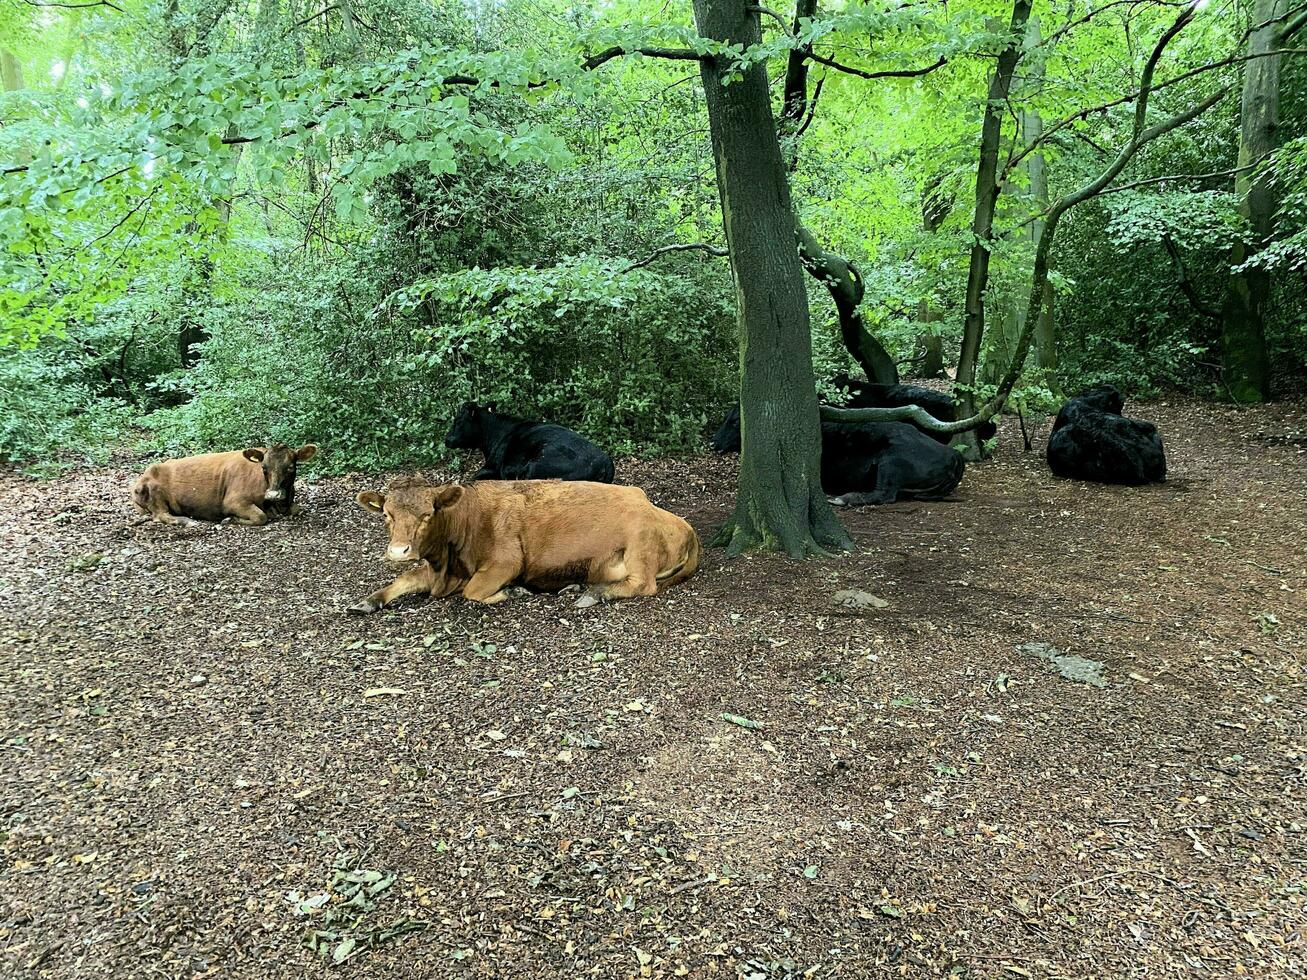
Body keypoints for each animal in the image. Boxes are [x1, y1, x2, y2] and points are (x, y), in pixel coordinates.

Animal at [131, 441, 320, 525]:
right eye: (263, 467)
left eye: (290, 467)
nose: (273, 494)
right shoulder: (232, 501)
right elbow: (260, 516)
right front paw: (230, 519)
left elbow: (296, 508)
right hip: (155, 494)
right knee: (160, 515)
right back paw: (186, 520)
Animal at [345, 478, 695, 614]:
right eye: (387, 514)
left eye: (428, 513)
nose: (399, 550)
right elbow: (404, 578)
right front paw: (366, 601)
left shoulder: (506, 563)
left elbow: (473, 591)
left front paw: (513, 592)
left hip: (639, 543)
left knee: (643, 584)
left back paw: (593, 594)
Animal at [711, 410, 967, 509]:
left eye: (734, 421)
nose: (714, 443)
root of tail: (953, 453)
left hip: (891, 464)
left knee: (884, 494)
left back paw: (843, 498)